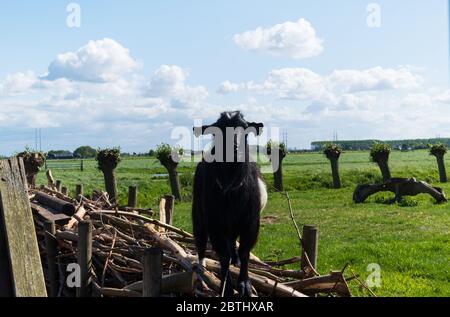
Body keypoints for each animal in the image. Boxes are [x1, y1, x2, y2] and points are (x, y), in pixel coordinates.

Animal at [192, 111, 268, 296]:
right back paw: (201, 269)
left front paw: (245, 284)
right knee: (201, 241)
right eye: (216, 131)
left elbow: (245, 251)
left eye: (245, 128)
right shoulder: (215, 225)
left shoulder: (251, 224)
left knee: (233, 243)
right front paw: (226, 288)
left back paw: (236, 260)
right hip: (198, 215)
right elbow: (223, 255)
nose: (232, 149)